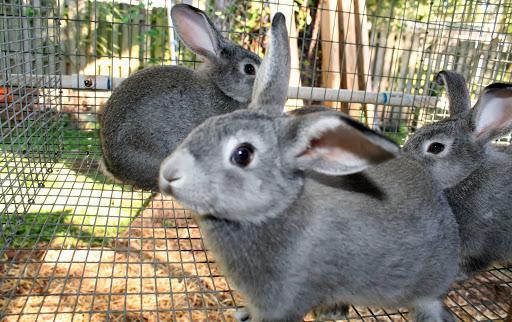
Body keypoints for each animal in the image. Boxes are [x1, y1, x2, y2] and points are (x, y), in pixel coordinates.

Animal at [404, 71, 512, 280]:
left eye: (435, 147)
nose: (403, 159)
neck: (467, 176)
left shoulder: (485, 242)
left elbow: (474, 263)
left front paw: (457, 275)